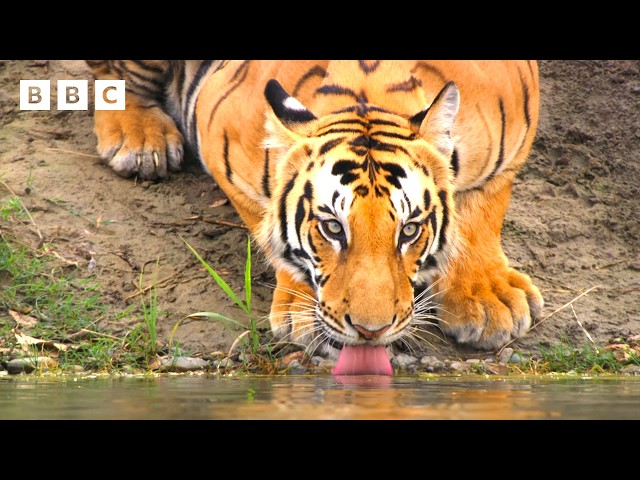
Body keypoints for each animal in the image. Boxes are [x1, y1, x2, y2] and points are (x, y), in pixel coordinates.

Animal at [86, 60, 544, 374]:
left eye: (410, 231)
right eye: (332, 228)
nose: (371, 331)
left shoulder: (515, 137)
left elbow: (482, 210)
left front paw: (487, 301)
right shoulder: (220, 140)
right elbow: (269, 226)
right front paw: (301, 312)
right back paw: (140, 141)